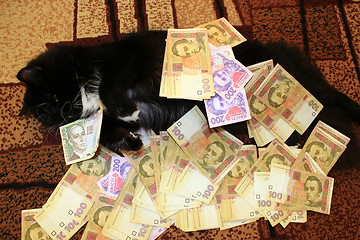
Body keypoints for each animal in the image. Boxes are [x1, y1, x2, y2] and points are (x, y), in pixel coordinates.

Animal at [16, 31, 360, 168]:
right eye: (46, 114)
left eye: (50, 101)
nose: (61, 115)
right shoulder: (104, 120)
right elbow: (106, 134)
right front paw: (133, 142)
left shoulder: (123, 62)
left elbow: (110, 92)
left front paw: (126, 111)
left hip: (308, 85)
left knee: (337, 99)